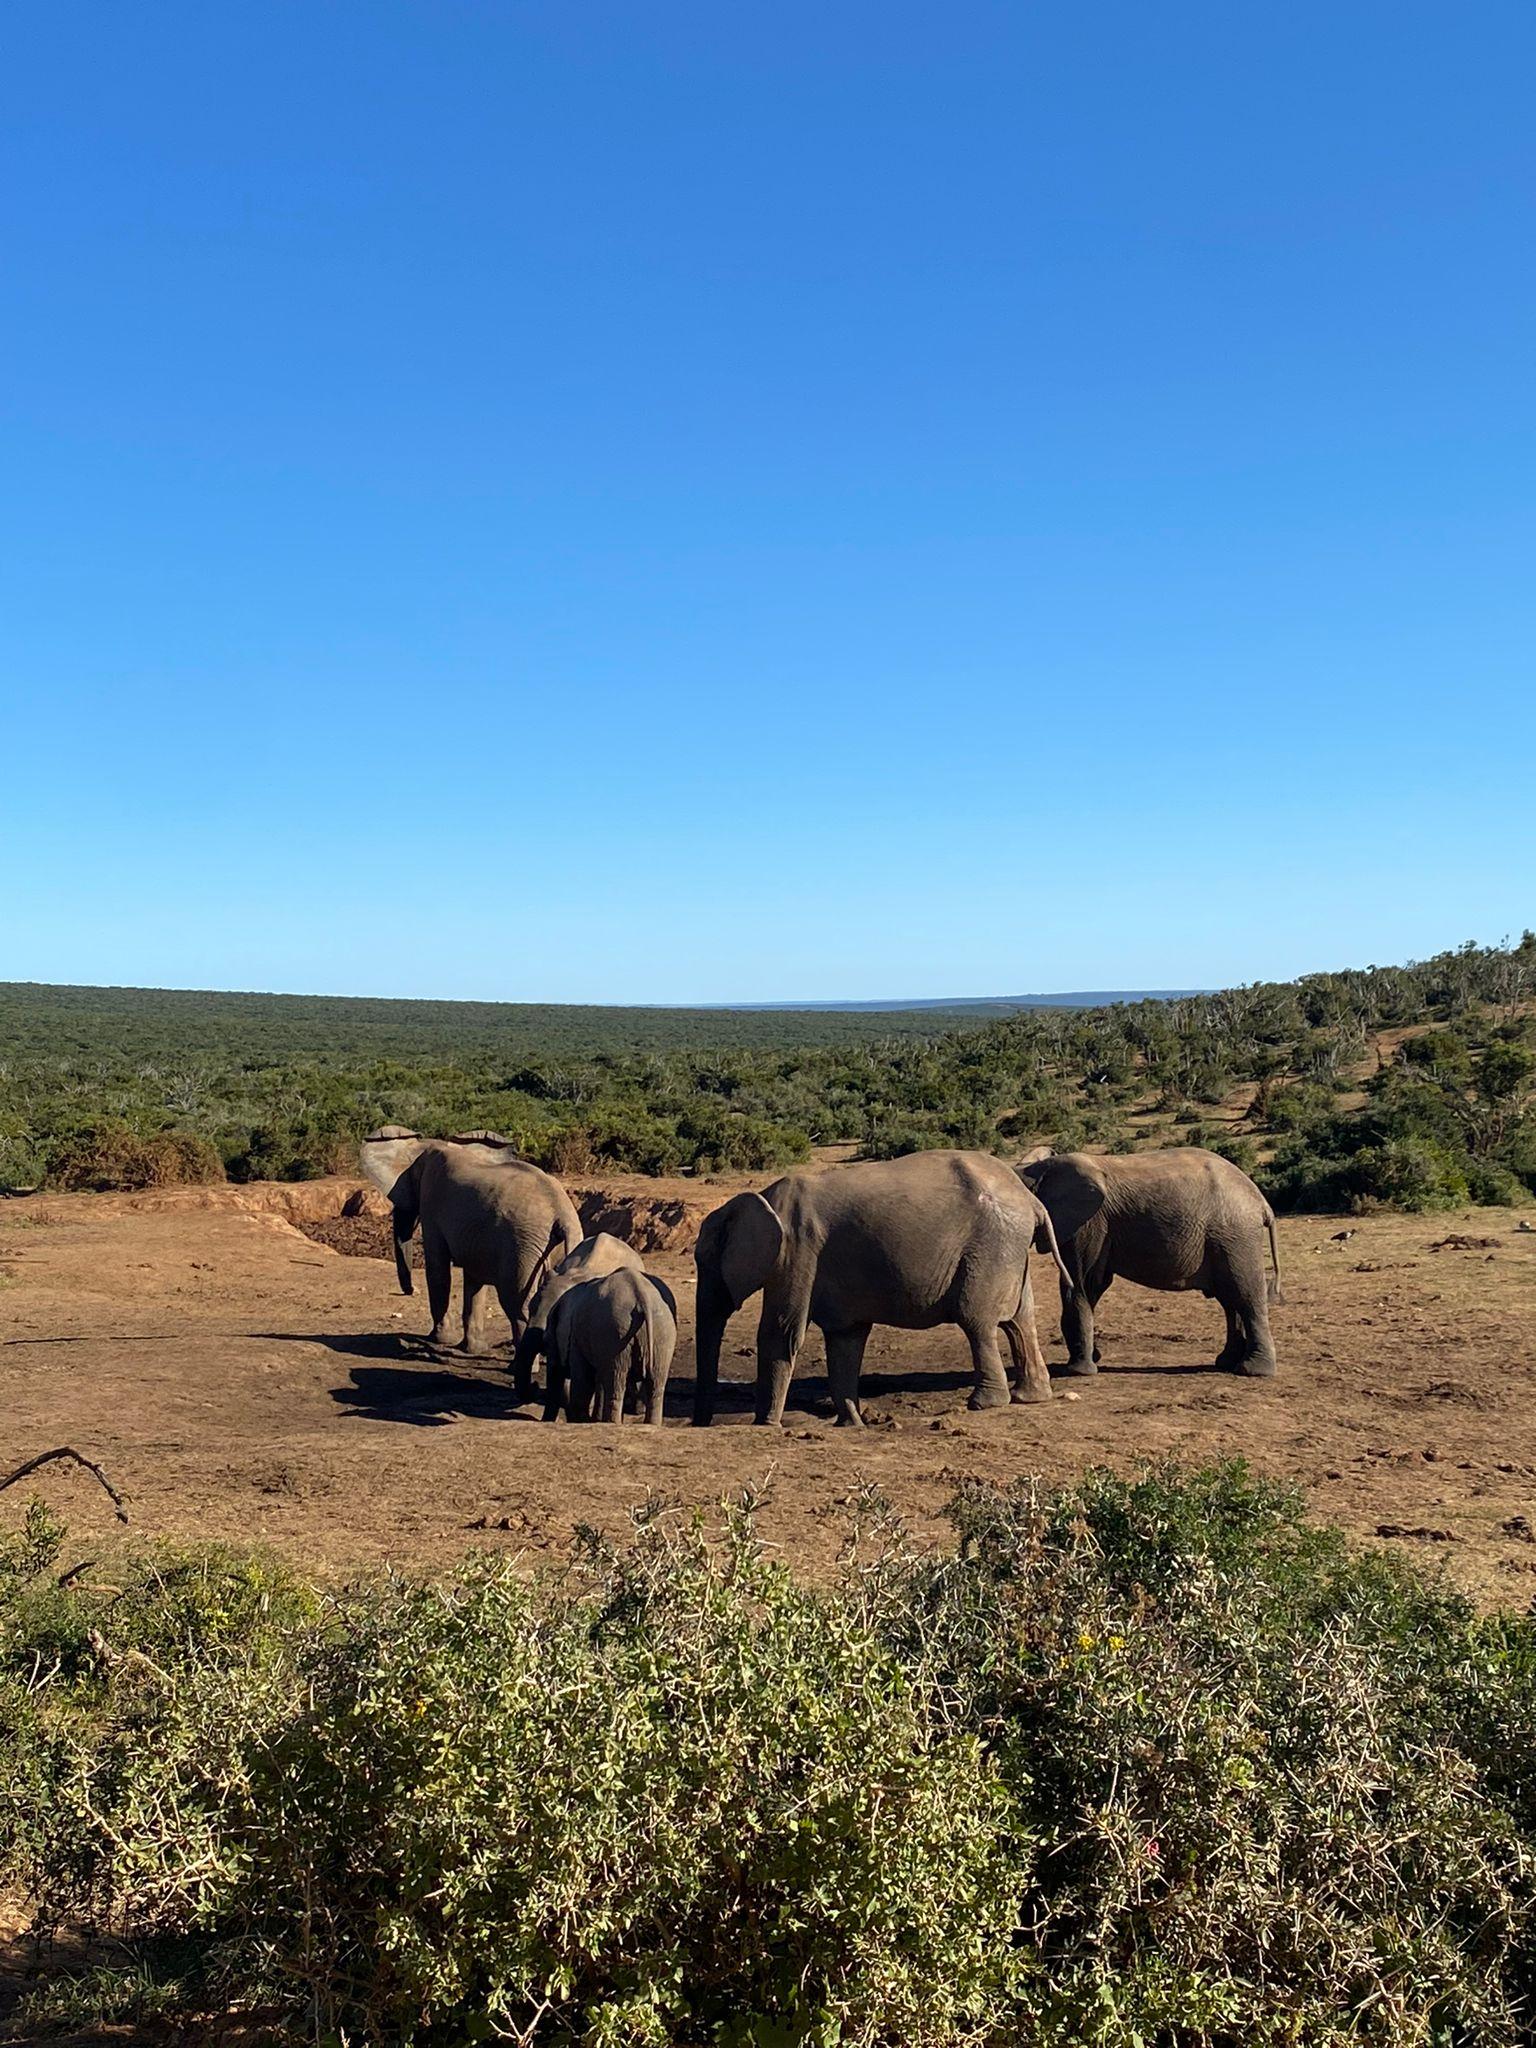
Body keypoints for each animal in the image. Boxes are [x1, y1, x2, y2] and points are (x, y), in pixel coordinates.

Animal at [359, 1128, 582, 1354]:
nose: (411, 1291)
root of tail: (562, 1214)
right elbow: (474, 1278)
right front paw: (473, 1349)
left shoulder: (432, 1204)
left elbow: (438, 1268)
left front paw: (440, 1339)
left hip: (522, 1249)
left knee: (518, 1308)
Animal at [542, 1266, 677, 1424]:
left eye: (547, 1341)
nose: (545, 1420)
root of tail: (641, 1297)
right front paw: (592, 1419)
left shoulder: (577, 1336)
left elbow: (584, 1379)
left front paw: (581, 1420)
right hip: (662, 1332)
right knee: (656, 1386)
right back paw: (650, 1424)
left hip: (616, 1333)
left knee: (616, 1383)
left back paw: (612, 1422)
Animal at [692, 1148, 1077, 1428]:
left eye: (705, 1261)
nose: (701, 1424)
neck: (761, 1200)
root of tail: (1031, 1201)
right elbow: (845, 1338)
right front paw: (852, 1424)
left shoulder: (796, 1251)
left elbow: (781, 1332)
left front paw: (766, 1425)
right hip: (1008, 1247)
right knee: (1020, 1320)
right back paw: (1030, 1396)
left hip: (989, 1247)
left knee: (976, 1321)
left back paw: (984, 1403)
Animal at [1017, 1147, 1283, 1378]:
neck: (1038, 1169)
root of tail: (1262, 1202)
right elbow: (1093, 1286)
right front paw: (1093, 1358)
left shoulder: (1088, 1224)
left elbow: (1079, 1286)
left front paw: (1077, 1371)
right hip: (1226, 1240)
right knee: (1229, 1300)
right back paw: (1226, 1362)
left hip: (1236, 1236)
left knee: (1246, 1295)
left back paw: (1252, 1370)